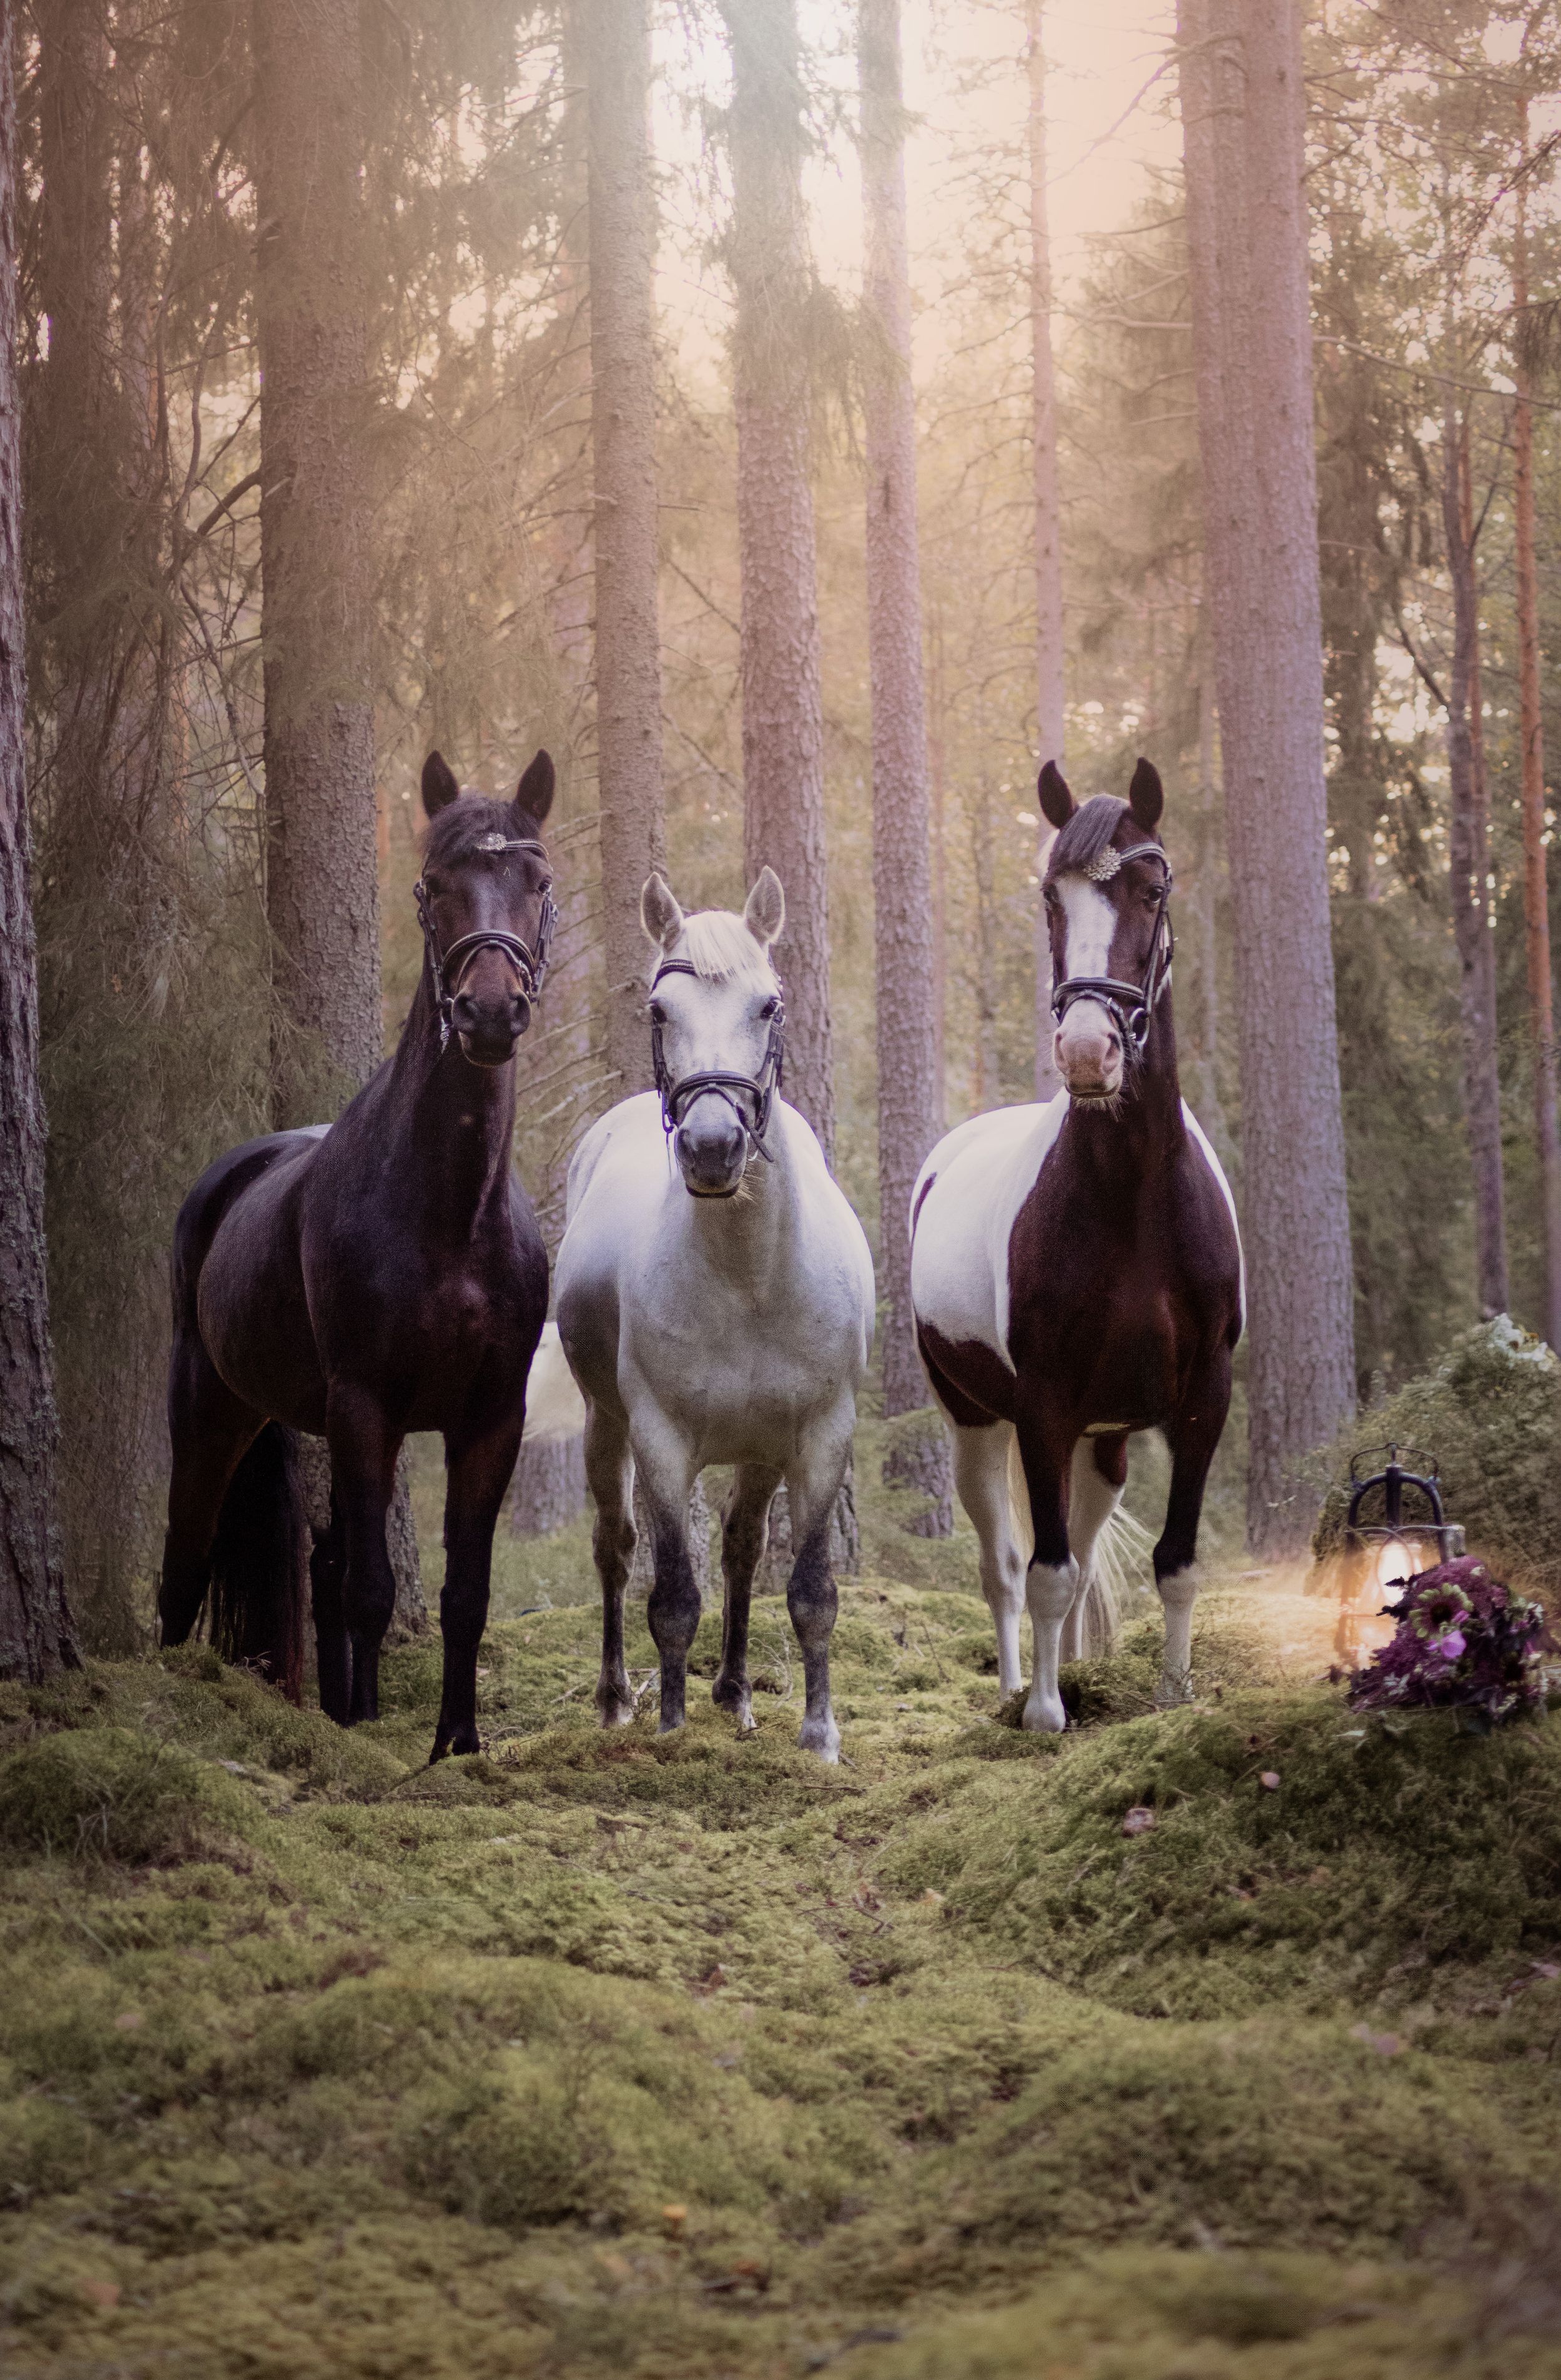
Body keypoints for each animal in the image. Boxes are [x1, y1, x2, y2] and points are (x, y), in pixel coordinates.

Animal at [158, 749, 556, 1759]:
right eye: (434, 884)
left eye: (537, 883)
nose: (488, 1012)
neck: (450, 1217)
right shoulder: (365, 1404)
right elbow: (374, 1590)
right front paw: (375, 1748)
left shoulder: (489, 1419)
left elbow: (463, 1594)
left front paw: (454, 1743)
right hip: (215, 1410)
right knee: (186, 1564)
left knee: (325, 1561)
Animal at [554, 868, 875, 1762]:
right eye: (660, 1011)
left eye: (768, 1004)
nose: (709, 1146)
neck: (751, 1278)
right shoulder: (661, 1441)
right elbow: (671, 1595)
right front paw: (668, 1726)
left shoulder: (819, 1436)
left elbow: (808, 1590)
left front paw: (819, 1734)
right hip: (605, 1424)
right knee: (614, 1549)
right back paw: (616, 1697)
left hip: (760, 1449)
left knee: (738, 1548)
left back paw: (734, 1691)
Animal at [909, 756, 1243, 1731]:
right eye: (1049, 898)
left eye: (1153, 888)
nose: (1089, 1051)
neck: (1131, 1199)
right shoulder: (1043, 1406)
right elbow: (1047, 1571)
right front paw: (1047, 1716)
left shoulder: (1201, 1399)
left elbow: (1176, 1563)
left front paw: (1171, 1695)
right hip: (976, 1421)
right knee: (1006, 1567)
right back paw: (1021, 1687)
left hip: (1105, 1441)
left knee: (1089, 1555)